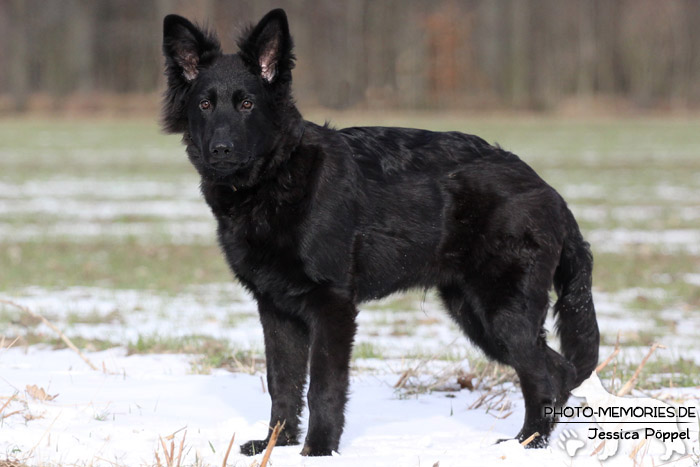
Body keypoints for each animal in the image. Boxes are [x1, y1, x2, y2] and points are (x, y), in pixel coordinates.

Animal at [161, 8, 600, 458]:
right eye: (205, 104)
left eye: (247, 104)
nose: (221, 150)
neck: (276, 177)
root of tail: (550, 192)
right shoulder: (276, 309)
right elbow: (282, 383)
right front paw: (276, 445)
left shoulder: (333, 307)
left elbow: (323, 387)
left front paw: (318, 451)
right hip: (473, 311)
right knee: (558, 370)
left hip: (502, 313)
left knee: (546, 373)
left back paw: (527, 444)